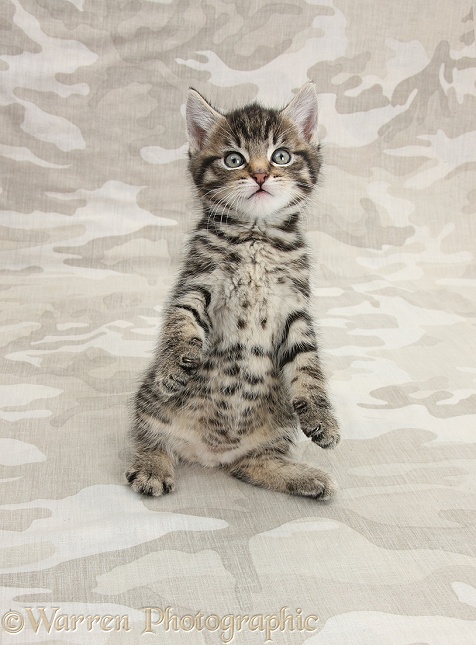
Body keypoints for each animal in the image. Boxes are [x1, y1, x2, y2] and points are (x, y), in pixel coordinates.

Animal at [126, 83, 340, 500]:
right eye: (233, 159)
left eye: (281, 155)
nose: (259, 174)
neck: (256, 234)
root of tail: (210, 455)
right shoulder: (197, 284)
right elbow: (180, 322)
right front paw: (174, 365)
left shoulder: (295, 309)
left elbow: (308, 366)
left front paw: (323, 419)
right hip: (151, 405)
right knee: (149, 438)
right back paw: (152, 466)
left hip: (276, 429)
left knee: (251, 466)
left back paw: (304, 477)